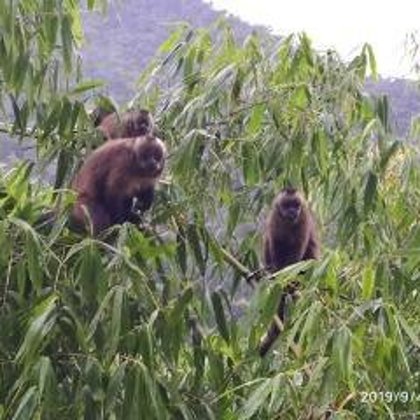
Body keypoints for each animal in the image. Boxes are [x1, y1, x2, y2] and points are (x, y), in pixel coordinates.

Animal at [258, 189, 320, 356]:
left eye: (295, 205)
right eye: (287, 206)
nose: (292, 211)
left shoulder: (303, 216)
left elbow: (297, 252)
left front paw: (287, 281)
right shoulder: (274, 217)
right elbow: (274, 245)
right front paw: (276, 273)